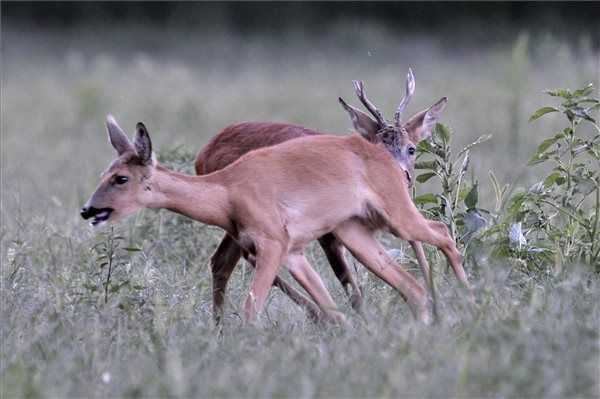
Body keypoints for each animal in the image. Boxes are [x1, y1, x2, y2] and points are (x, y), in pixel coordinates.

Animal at [197, 70, 468, 324]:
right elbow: (349, 283)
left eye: (412, 148)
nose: (397, 176)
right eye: (376, 147)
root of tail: (203, 154)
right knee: (242, 259)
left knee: (222, 261)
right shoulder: (330, 233)